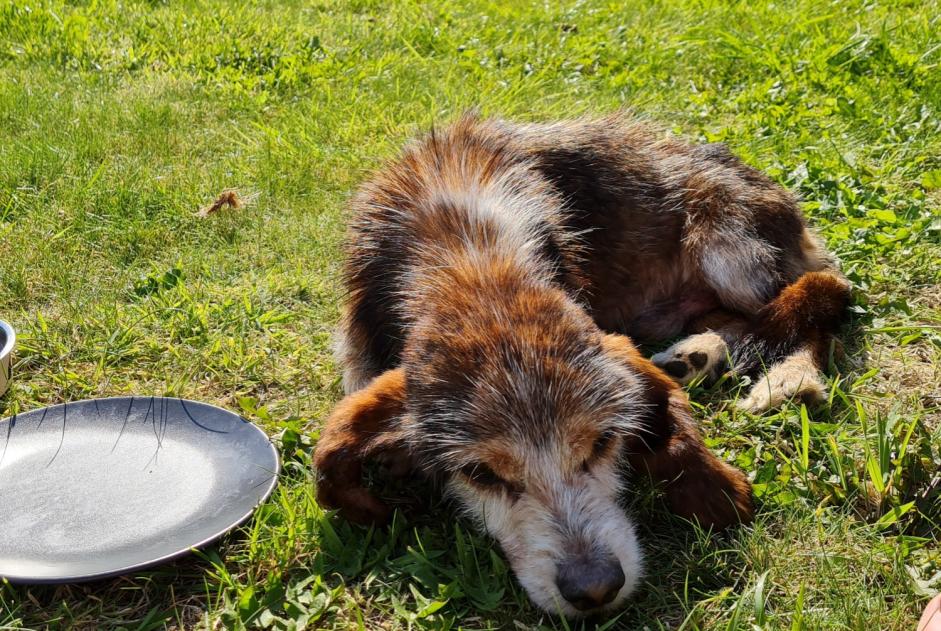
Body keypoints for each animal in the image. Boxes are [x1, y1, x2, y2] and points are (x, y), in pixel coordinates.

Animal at [312, 113, 848, 616]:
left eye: (603, 442)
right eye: (481, 474)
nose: (595, 590)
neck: (470, 263)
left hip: (733, 252)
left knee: (823, 295)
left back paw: (790, 378)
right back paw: (699, 354)